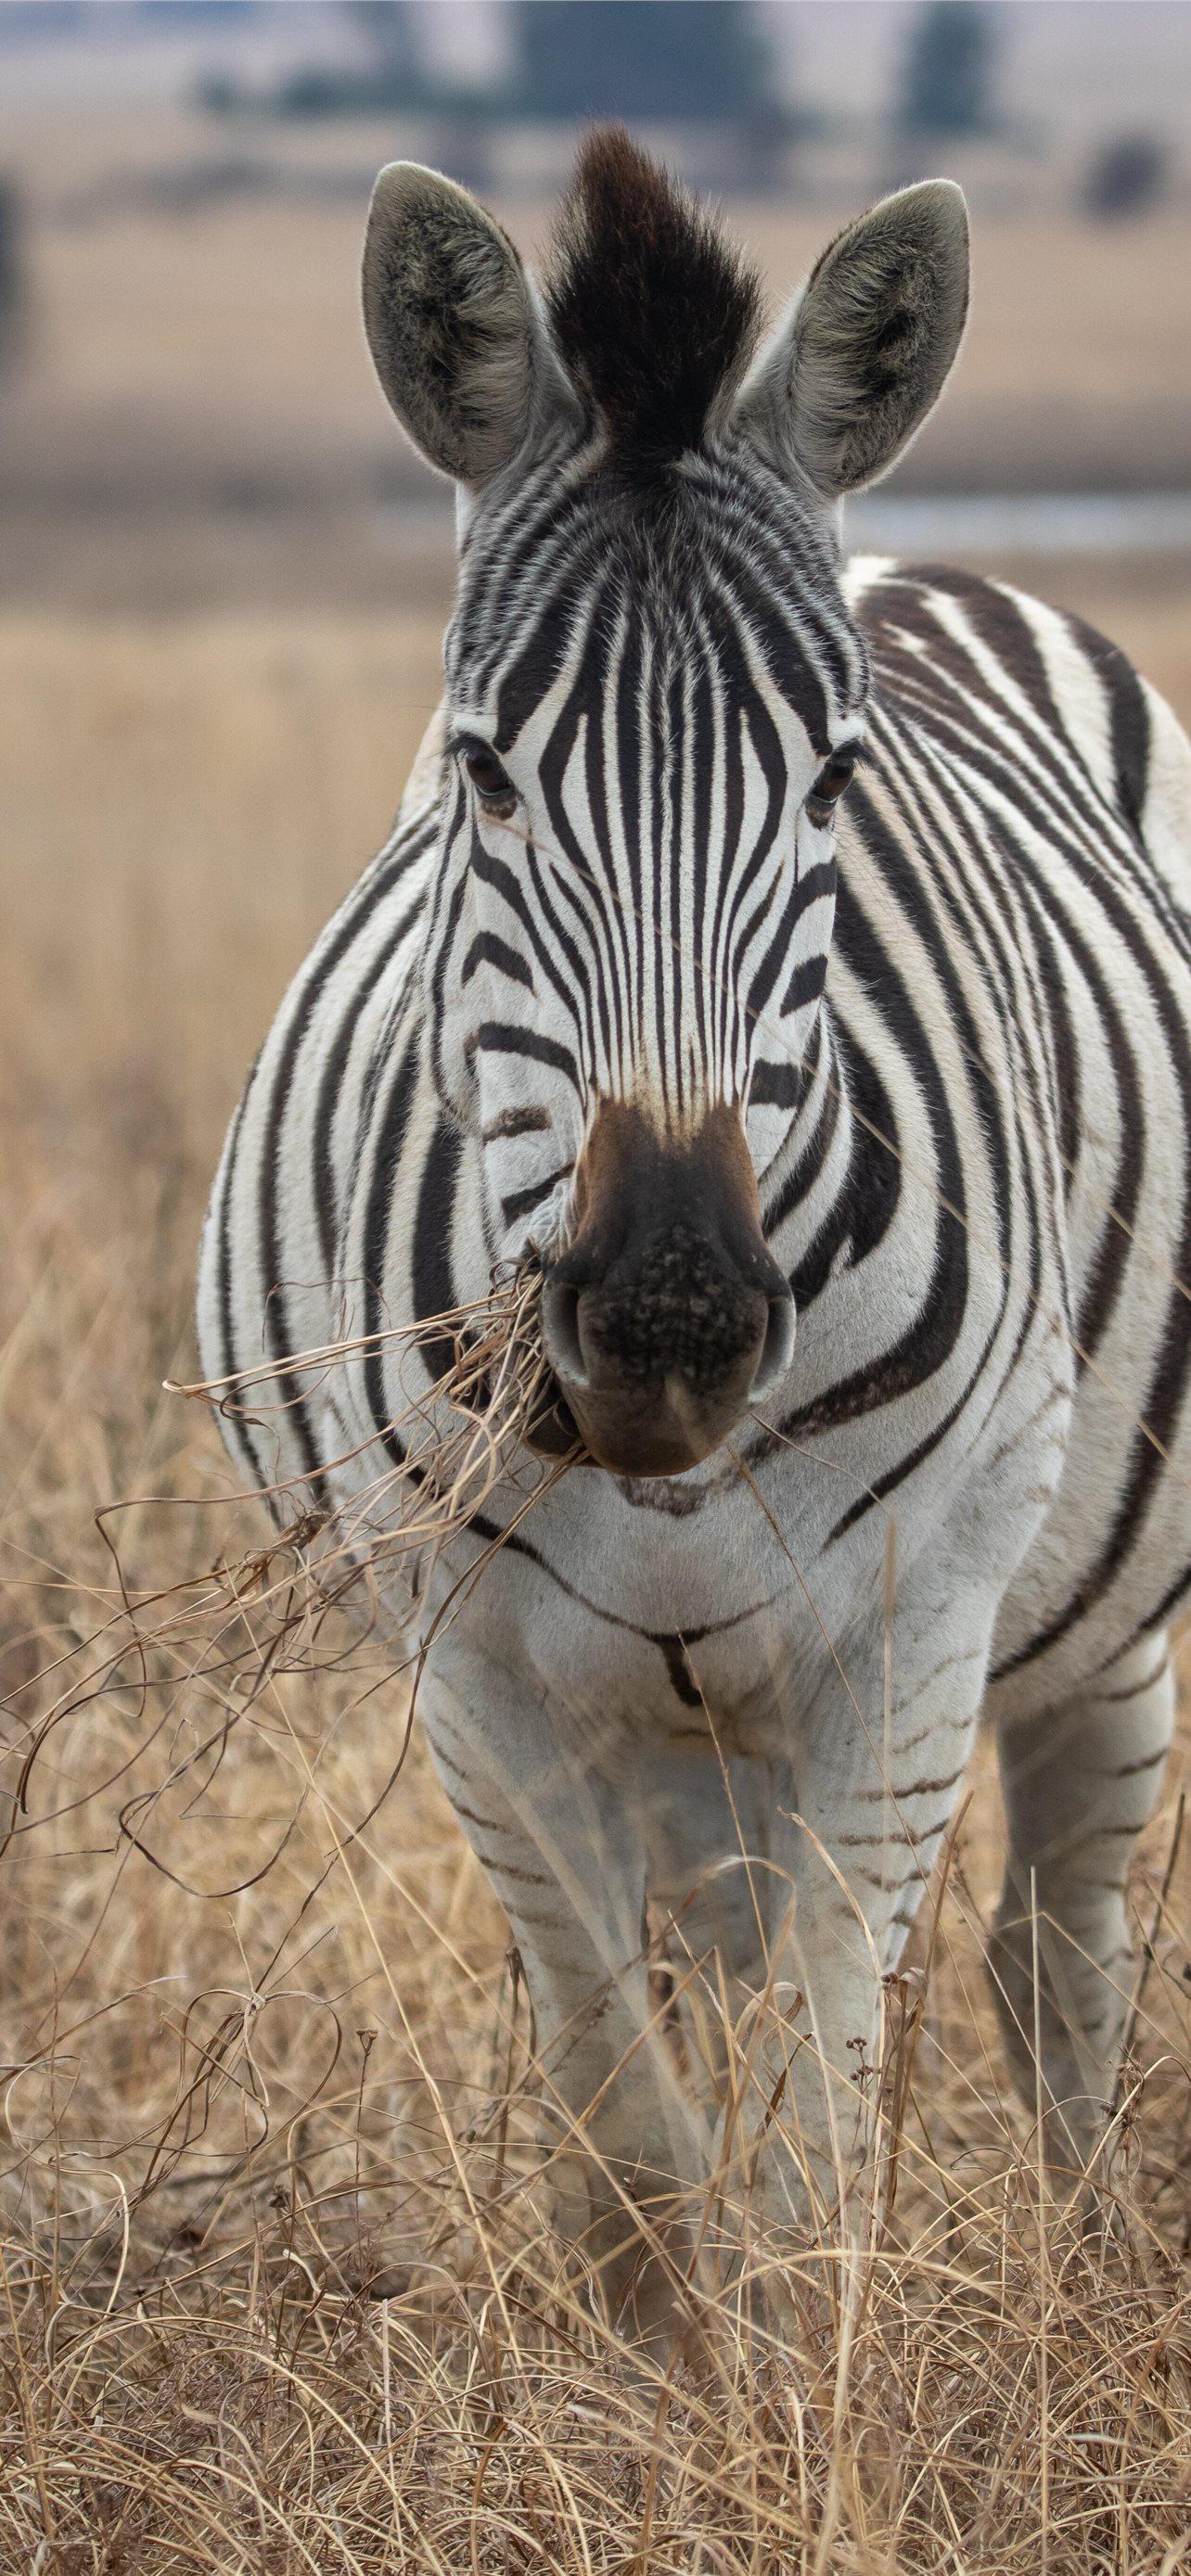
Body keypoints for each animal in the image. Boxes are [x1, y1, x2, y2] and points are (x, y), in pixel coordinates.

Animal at [199, 128, 1191, 2334]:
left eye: (832, 782)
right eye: (480, 773)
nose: (663, 1320)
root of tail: (923, 560)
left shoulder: (913, 1634)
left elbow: (813, 2144)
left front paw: (796, 2383)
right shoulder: (470, 1676)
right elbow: (625, 2140)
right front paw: (665, 2378)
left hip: (1099, 1619)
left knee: (1060, 1961)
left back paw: (1087, 2282)